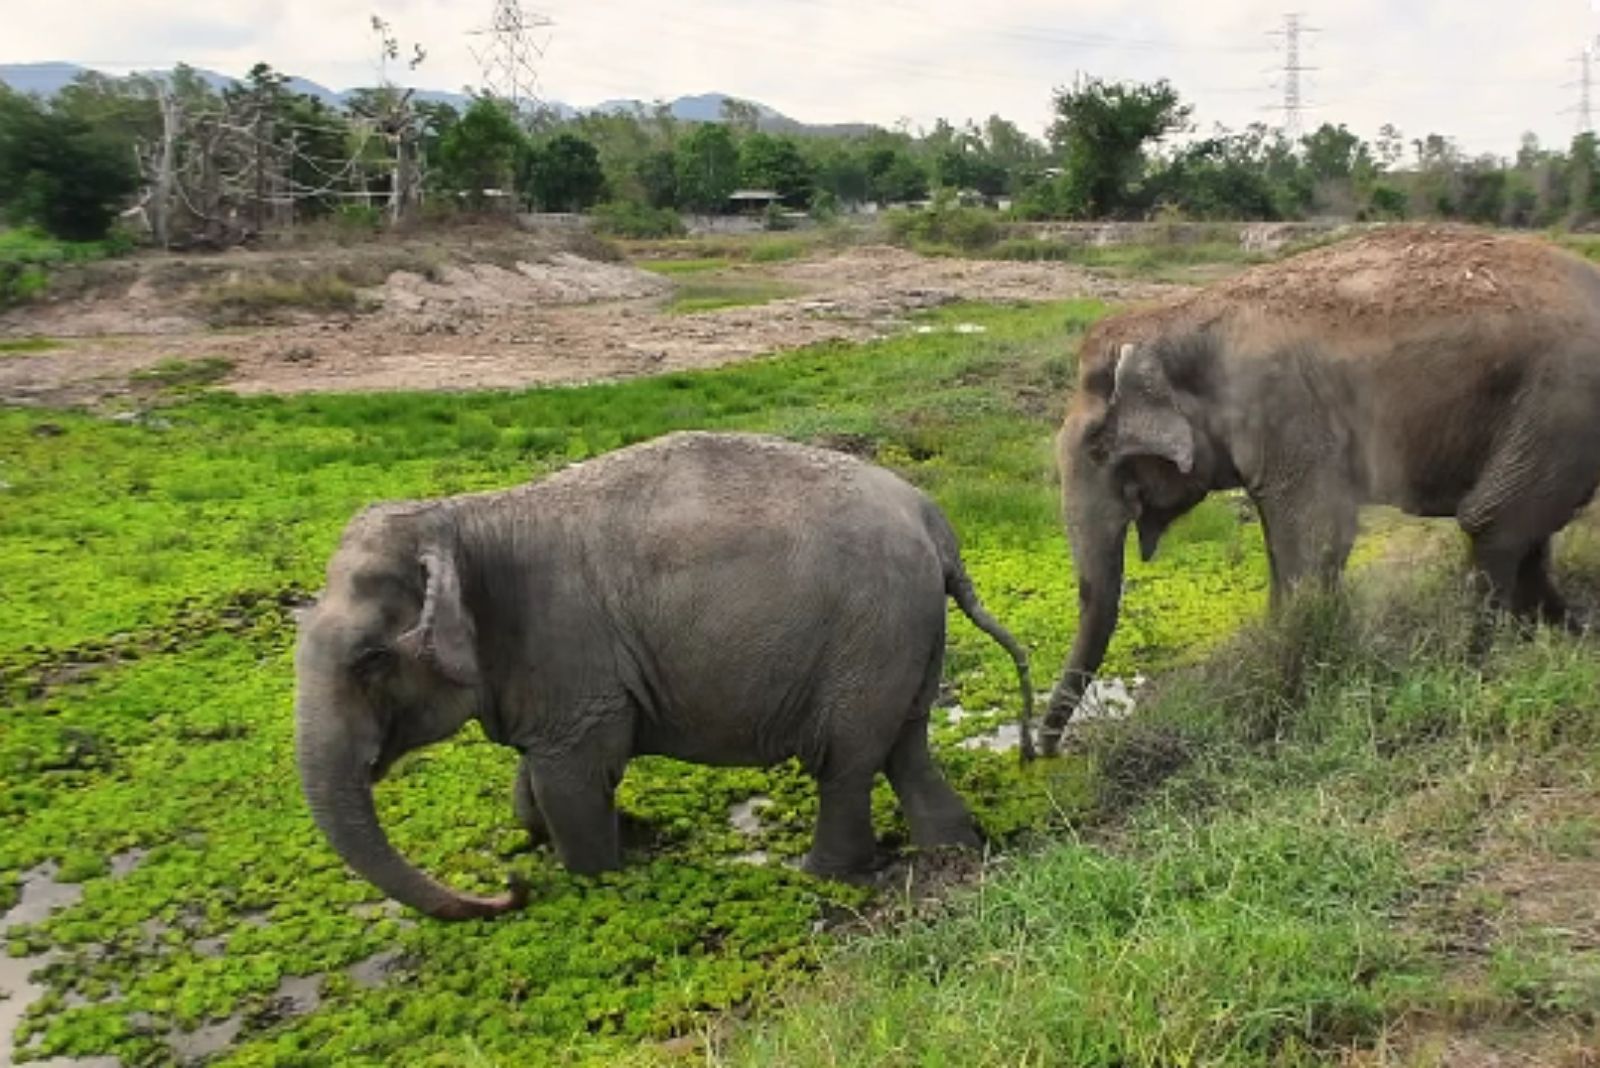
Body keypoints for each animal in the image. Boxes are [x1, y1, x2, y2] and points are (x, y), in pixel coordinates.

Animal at [295, 430, 1034, 920]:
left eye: (371, 659)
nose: (511, 886)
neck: (460, 518)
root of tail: (935, 524)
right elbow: (538, 779)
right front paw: (613, 835)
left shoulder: (568, 654)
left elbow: (570, 780)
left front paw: (597, 874)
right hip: (904, 636)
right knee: (903, 747)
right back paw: (952, 849)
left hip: (869, 633)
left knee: (847, 761)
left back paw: (827, 877)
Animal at [1043, 225, 1600, 756]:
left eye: (1097, 448)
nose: (1042, 754)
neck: (1176, 318)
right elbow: (1282, 545)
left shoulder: (1283, 410)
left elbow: (1314, 540)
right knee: (1525, 532)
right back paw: (1568, 635)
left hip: (1562, 402)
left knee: (1493, 522)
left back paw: (1478, 659)